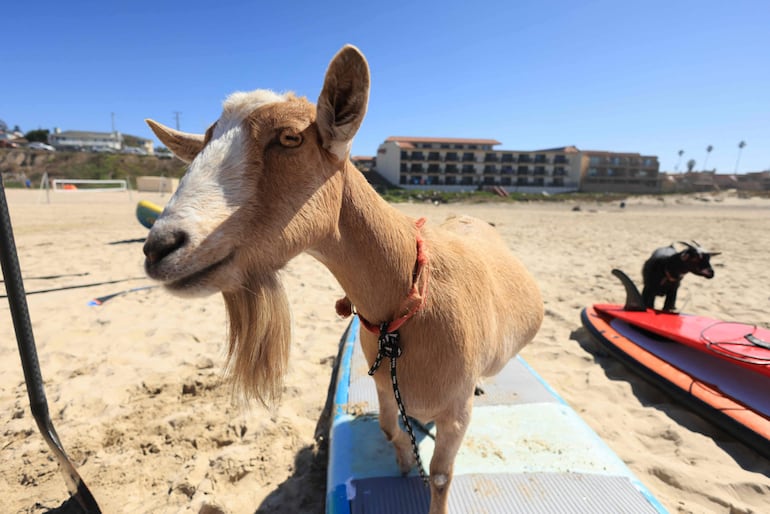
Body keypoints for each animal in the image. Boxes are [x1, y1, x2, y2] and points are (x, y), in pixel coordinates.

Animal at [144, 44, 540, 512]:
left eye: (290, 137)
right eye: (204, 142)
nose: (159, 248)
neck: (408, 306)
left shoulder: (456, 414)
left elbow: (441, 476)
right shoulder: (386, 388)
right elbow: (389, 429)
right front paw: (402, 465)